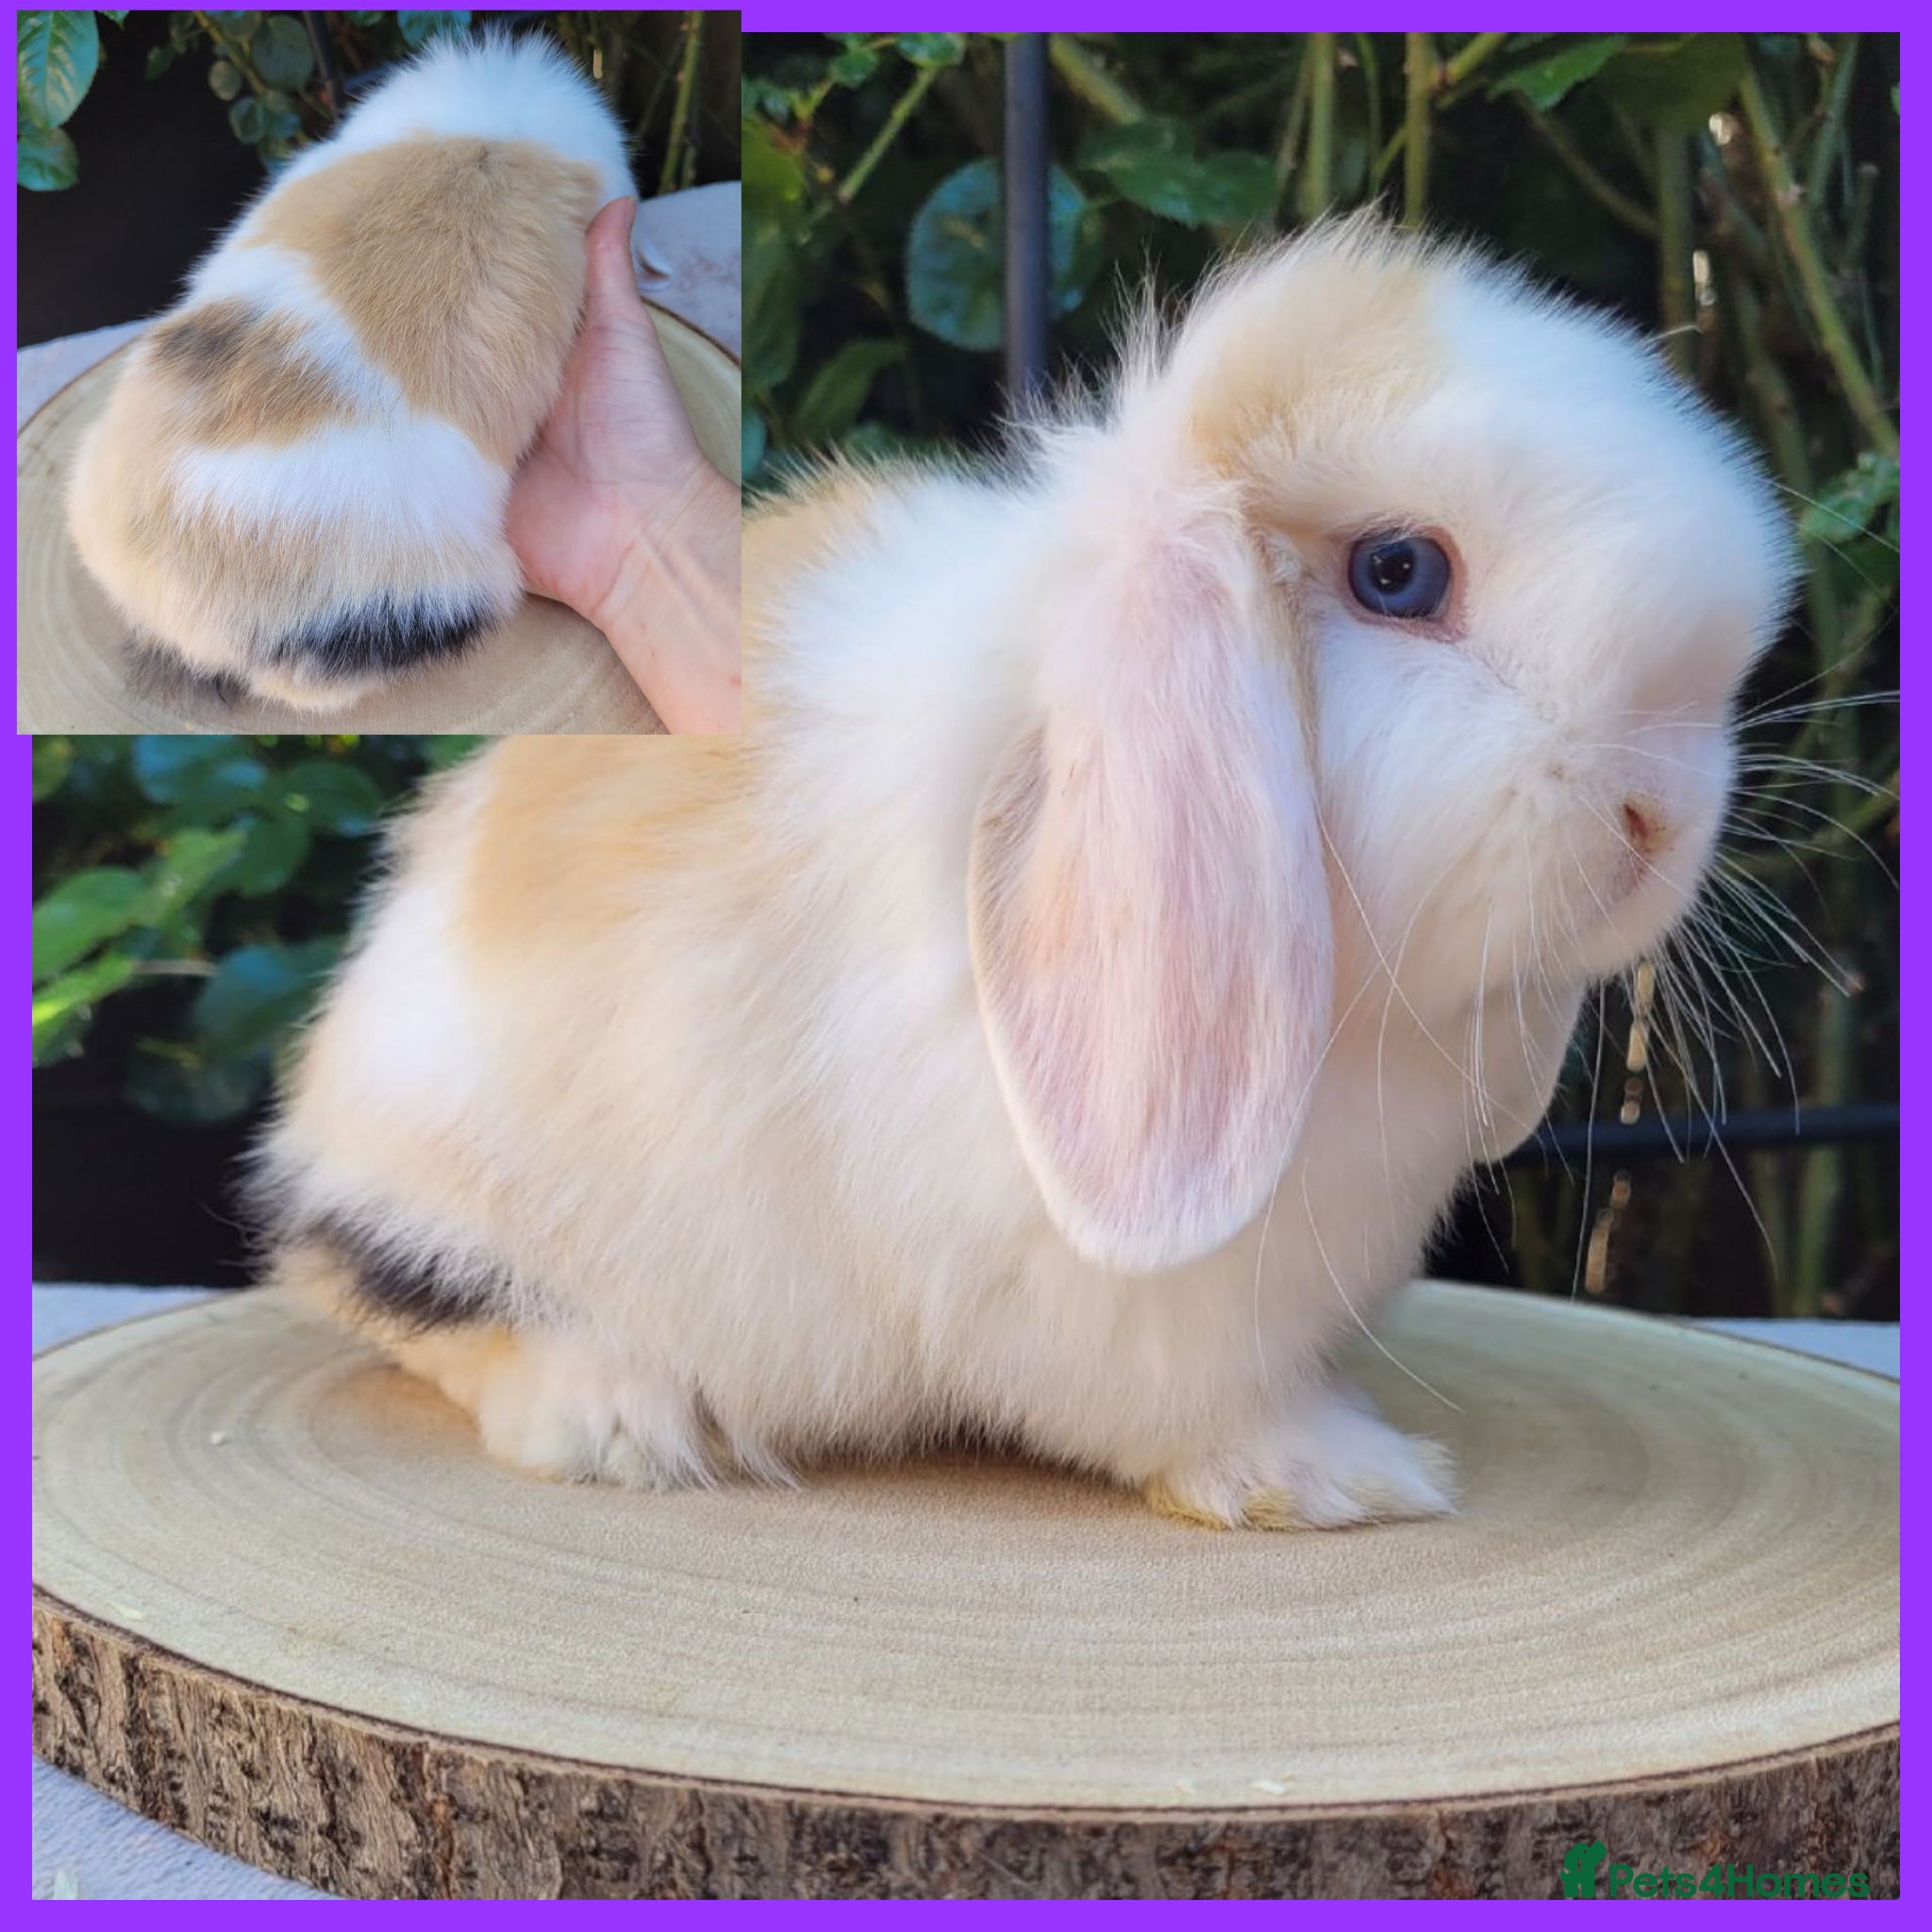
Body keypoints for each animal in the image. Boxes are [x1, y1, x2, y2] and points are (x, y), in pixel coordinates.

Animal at [254, 218, 1796, 1529]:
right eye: (1400, 573)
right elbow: (1176, 1401)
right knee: (419, 1309)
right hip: (460, 1197)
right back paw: (628, 1422)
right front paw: (1333, 1476)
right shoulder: (1118, 1297)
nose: (1661, 817)